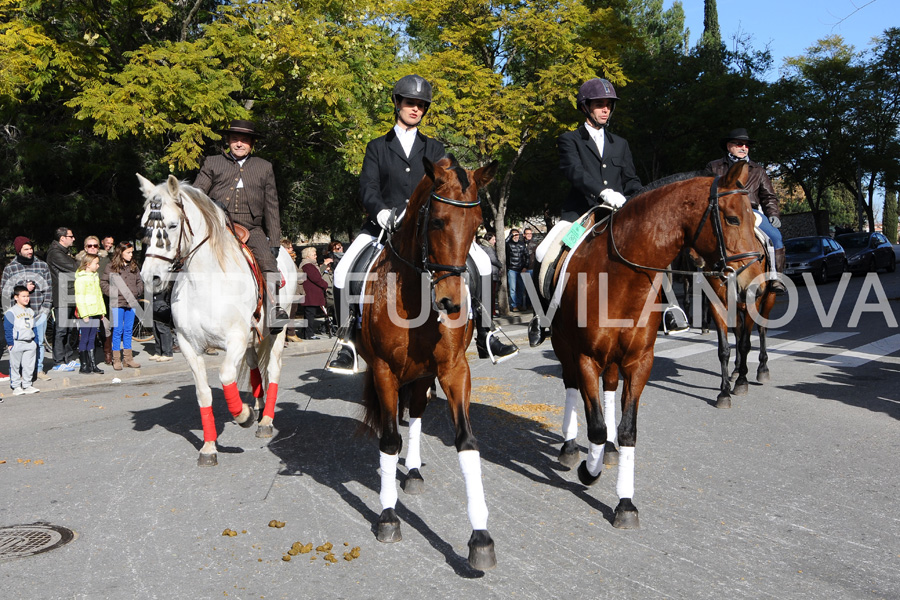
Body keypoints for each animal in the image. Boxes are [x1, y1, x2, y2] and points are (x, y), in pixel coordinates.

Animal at [137, 171, 298, 466]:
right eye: (145, 226)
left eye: (173, 225)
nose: (150, 277)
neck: (205, 283)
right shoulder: (189, 346)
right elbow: (204, 394)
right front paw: (209, 447)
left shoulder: (235, 339)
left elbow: (225, 376)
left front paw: (242, 415)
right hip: (251, 339)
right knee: (254, 367)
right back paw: (258, 405)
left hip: (275, 333)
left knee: (273, 369)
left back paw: (265, 420)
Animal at [358, 155, 500, 568]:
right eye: (436, 221)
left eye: (477, 224)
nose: (451, 303)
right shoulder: (384, 371)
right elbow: (389, 439)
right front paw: (388, 515)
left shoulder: (454, 370)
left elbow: (466, 441)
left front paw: (480, 536)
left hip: (423, 376)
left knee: (418, 412)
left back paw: (414, 471)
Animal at [548, 162, 760, 528]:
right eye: (733, 218)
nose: (753, 281)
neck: (619, 278)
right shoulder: (586, 357)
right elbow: (597, 426)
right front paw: (589, 471)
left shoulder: (639, 362)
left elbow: (627, 429)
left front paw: (625, 503)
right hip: (564, 348)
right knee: (573, 387)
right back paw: (570, 448)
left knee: (609, 387)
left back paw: (609, 452)